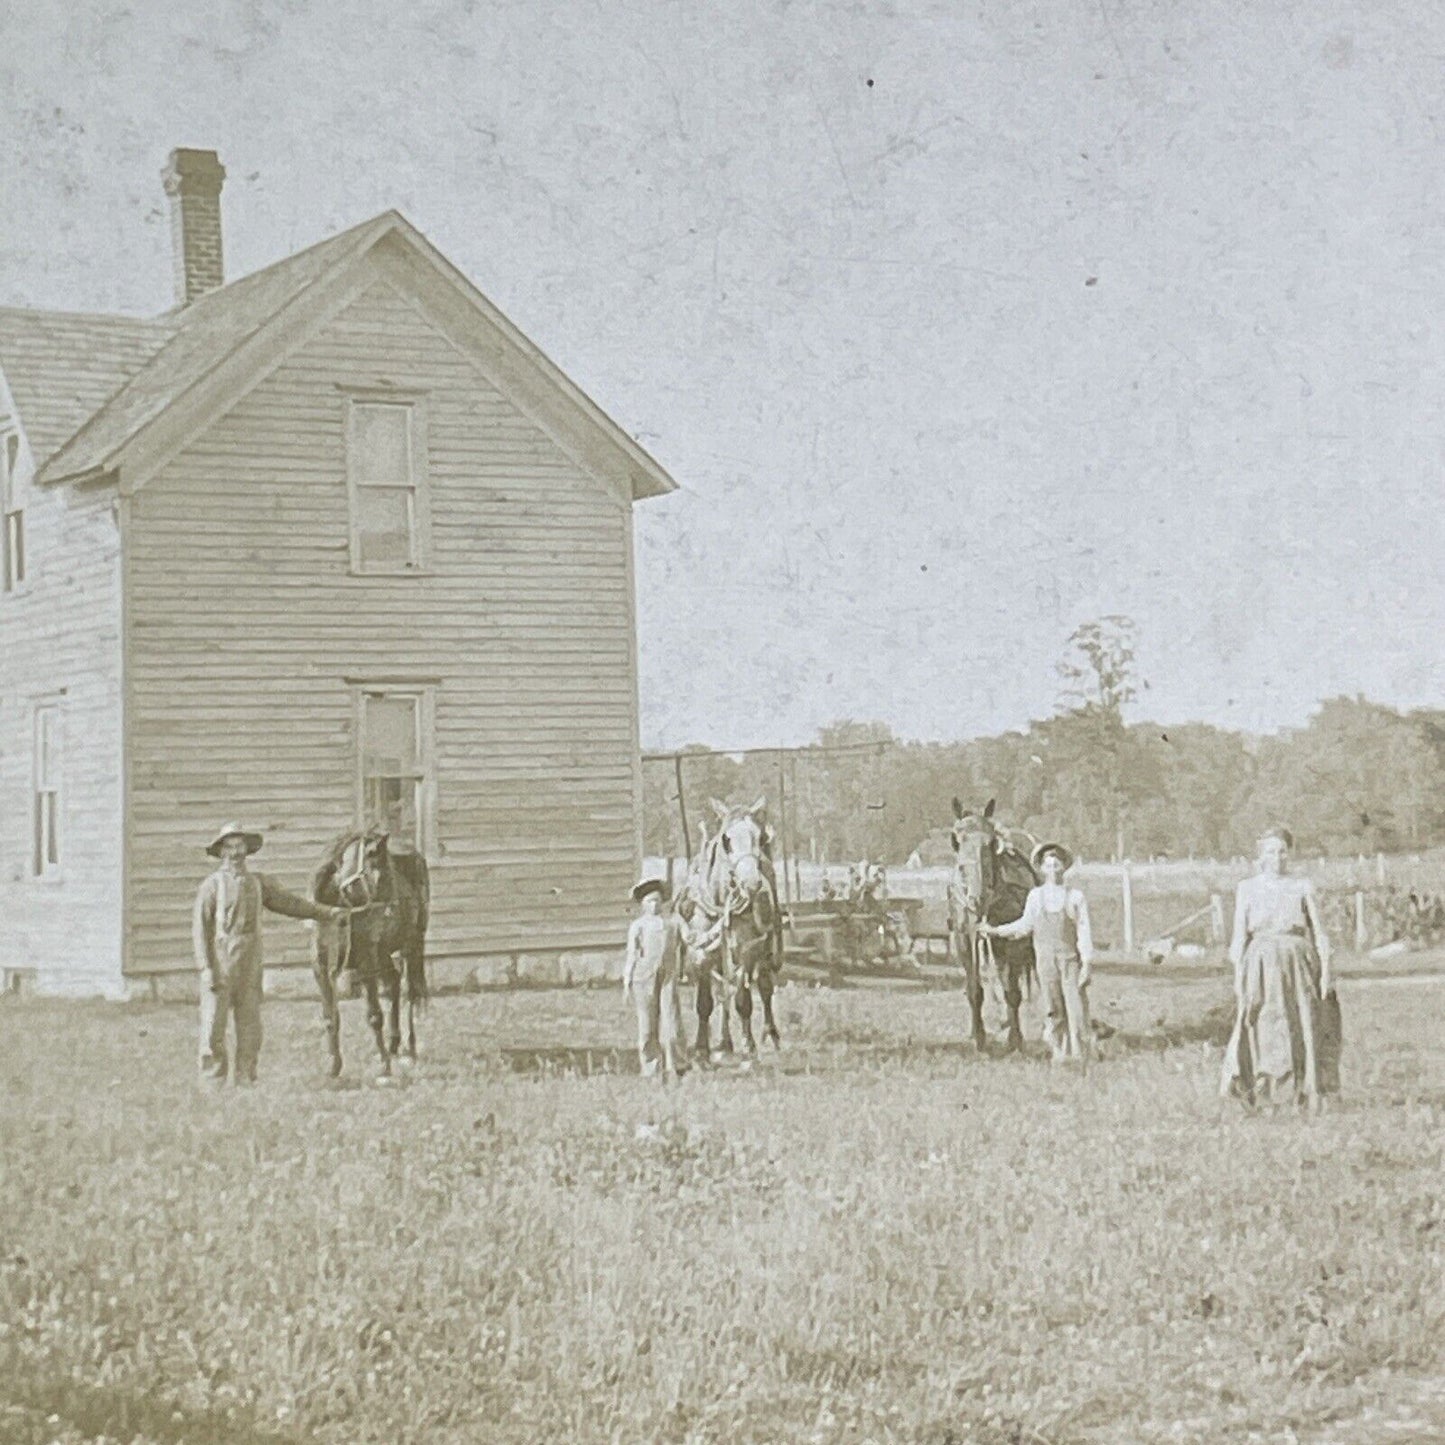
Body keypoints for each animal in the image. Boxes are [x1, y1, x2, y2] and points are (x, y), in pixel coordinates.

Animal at [310, 832, 427, 1080]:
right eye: (383, 875)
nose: (393, 908)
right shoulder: (321, 968)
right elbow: (330, 1017)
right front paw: (333, 1065)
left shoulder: (366, 965)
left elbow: (374, 1016)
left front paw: (384, 1066)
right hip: (383, 953)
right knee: (393, 982)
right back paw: (393, 1044)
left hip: (411, 947)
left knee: (411, 991)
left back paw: (410, 1050)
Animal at [682, 797, 786, 1057]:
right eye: (726, 840)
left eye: (759, 838)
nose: (752, 883)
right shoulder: (702, 953)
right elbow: (706, 1002)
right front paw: (702, 1047)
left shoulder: (747, 951)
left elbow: (743, 999)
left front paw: (748, 1043)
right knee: (723, 992)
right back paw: (724, 1041)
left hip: (765, 949)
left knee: (764, 987)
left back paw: (770, 1033)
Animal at [947, 803, 1040, 1051]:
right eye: (957, 839)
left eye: (990, 842)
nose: (977, 899)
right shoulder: (965, 938)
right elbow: (974, 989)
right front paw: (979, 1037)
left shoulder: (1012, 942)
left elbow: (1012, 992)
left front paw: (1015, 1039)